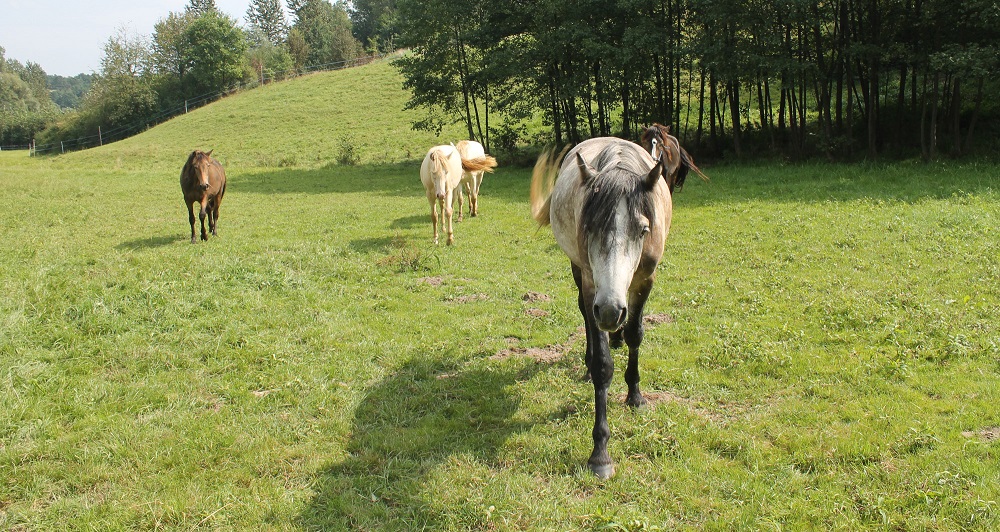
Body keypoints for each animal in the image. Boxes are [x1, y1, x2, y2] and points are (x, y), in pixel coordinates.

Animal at [528, 137, 676, 478]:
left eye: (643, 230)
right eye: (590, 227)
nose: (610, 311)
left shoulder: (645, 280)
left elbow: (635, 334)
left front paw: (635, 395)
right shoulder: (592, 284)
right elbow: (603, 366)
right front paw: (601, 454)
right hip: (579, 273)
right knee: (585, 314)